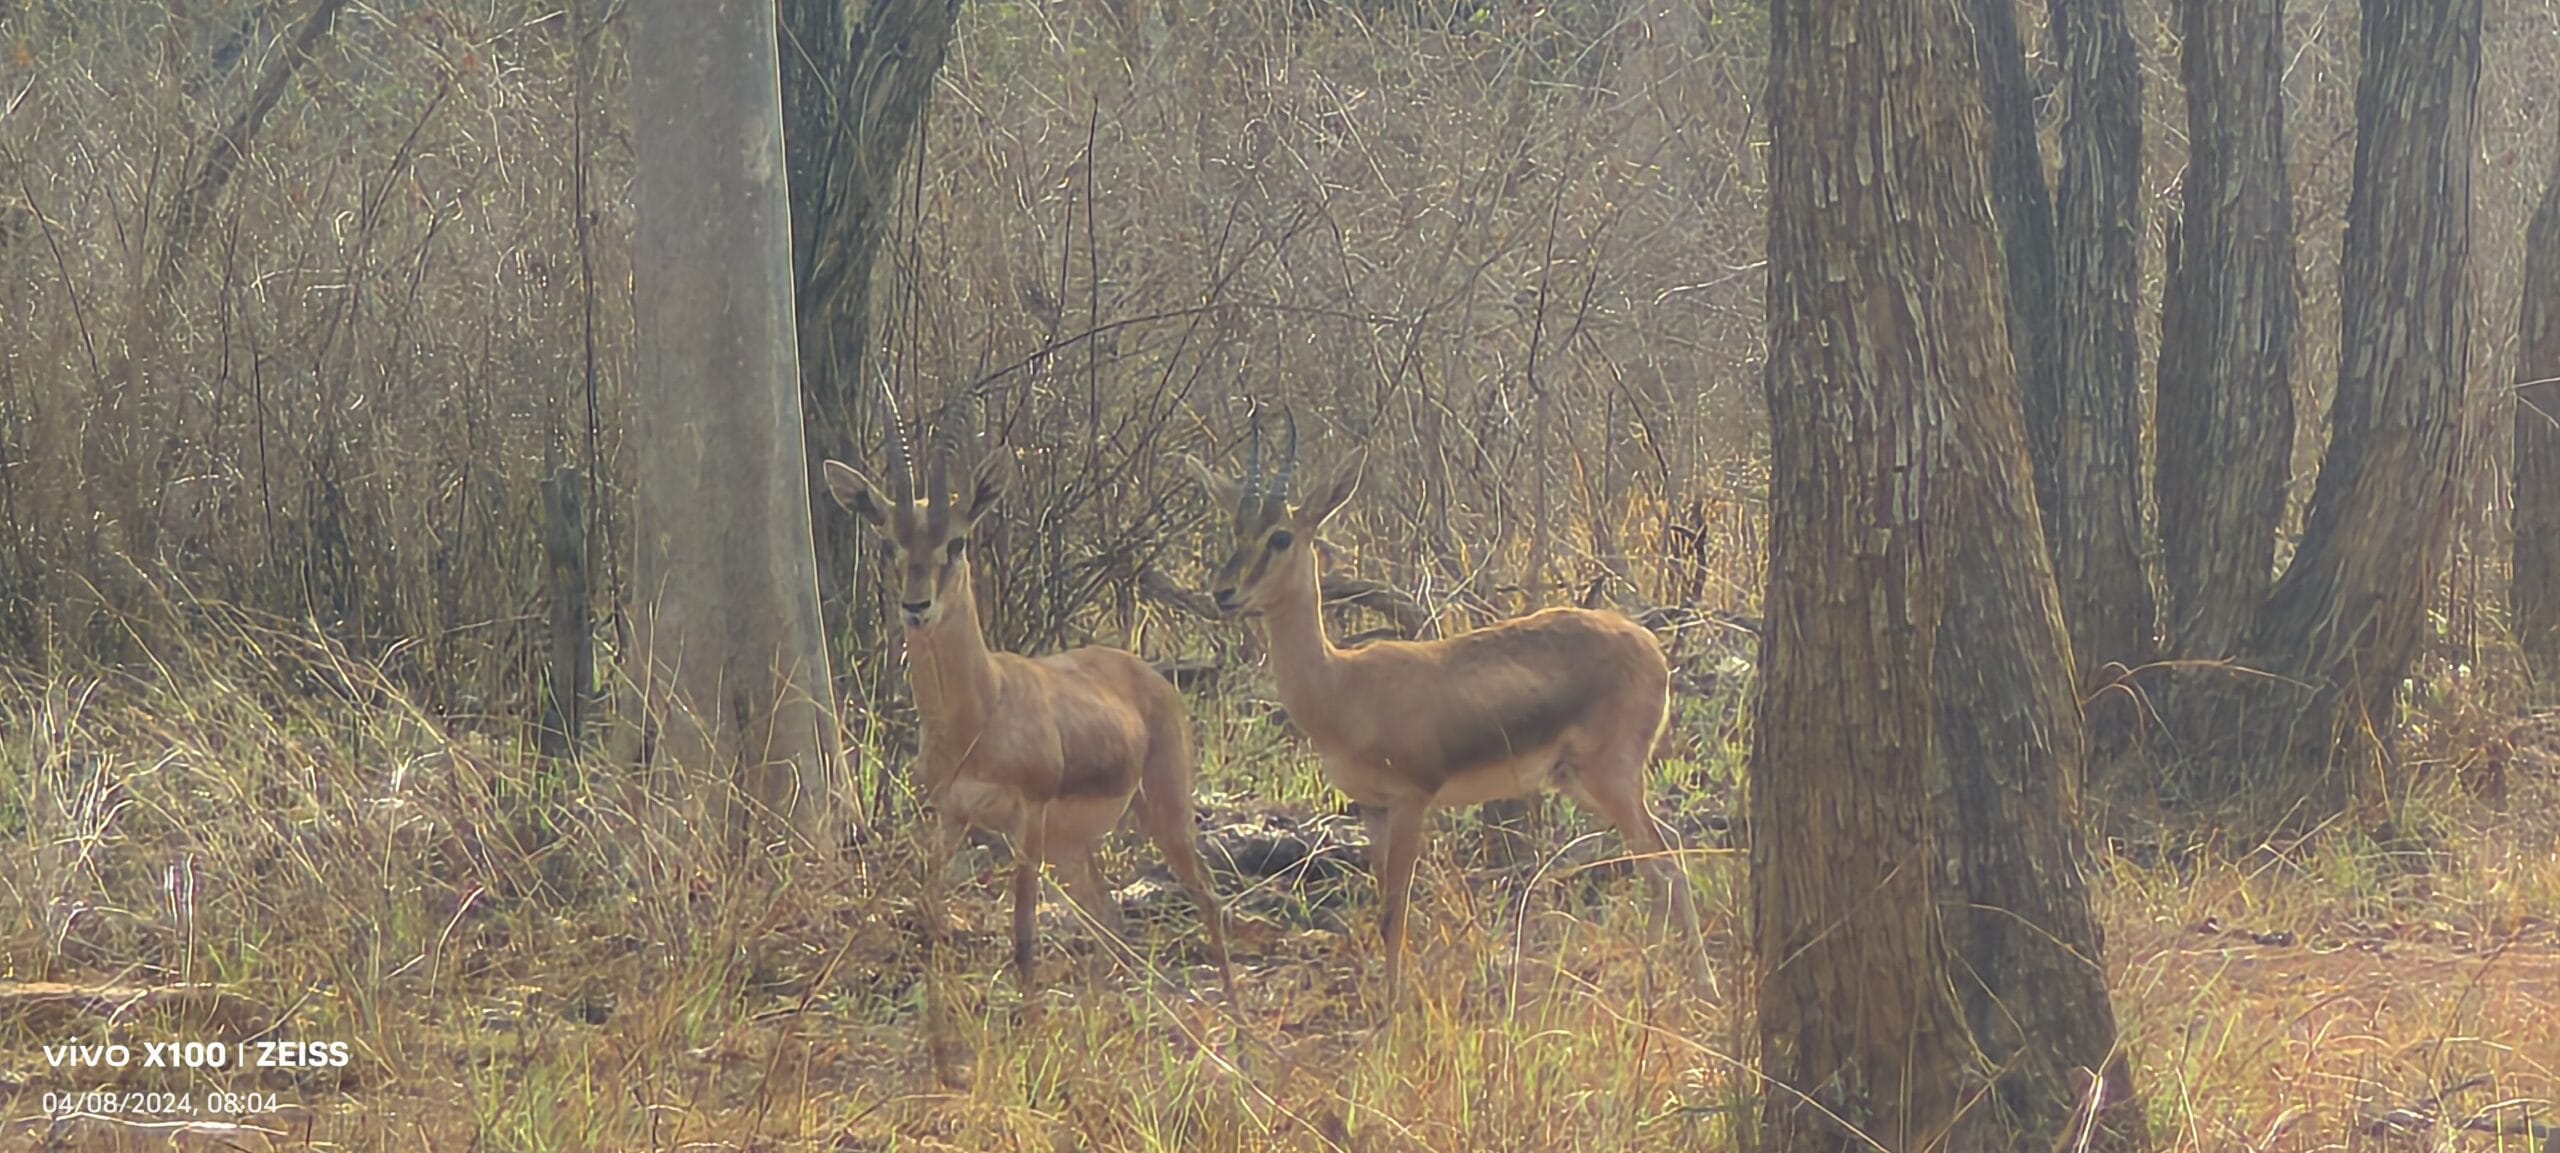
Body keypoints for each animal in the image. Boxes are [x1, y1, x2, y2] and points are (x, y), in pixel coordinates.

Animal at [825, 411, 1234, 1087]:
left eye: (956, 541)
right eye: (887, 542)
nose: (916, 607)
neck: (981, 710)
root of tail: (1146, 673)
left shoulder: (1027, 820)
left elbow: (1021, 938)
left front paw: (1035, 1047)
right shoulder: (950, 819)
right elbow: (931, 928)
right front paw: (942, 1064)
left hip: (1162, 814)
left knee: (1208, 898)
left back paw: (1234, 1030)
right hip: (1075, 850)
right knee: (1112, 922)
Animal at [1184, 412, 1706, 1004]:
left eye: (1281, 536)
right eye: (1235, 529)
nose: (1223, 592)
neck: (1342, 686)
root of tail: (1651, 646)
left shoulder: (1412, 800)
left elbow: (1396, 912)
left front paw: (1394, 1007)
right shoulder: (1372, 809)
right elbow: (1383, 905)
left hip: (1610, 777)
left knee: (1668, 863)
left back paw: (1695, 984)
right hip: (1578, 781)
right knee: (1658, 860)